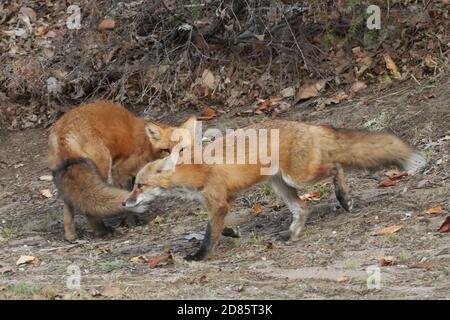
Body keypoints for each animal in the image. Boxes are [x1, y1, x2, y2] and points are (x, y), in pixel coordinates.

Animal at [48, 101, 196, 241]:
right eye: (166, 150)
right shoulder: (119, 171)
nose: (175, 162)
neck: (147, 145)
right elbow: (129, 199)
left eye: (182, 149)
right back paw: (102, 230)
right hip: (102, 166)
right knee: (88, 206)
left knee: (69, 201)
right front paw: (131, 222)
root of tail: (64, 127)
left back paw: (70, 236)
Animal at [123, 119, 426, 260]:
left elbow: (209, 234)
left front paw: (199, 256)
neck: (195, 169)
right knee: (304, 208)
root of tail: (309, 125)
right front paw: (233, 232)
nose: (126, 203)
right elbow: (220, 226)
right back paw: (292, 235)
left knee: (336, 166)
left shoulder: (218, 201)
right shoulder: (218, 202)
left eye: (140, 186)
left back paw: (344, 197)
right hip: (281, 185)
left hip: (300, 177)